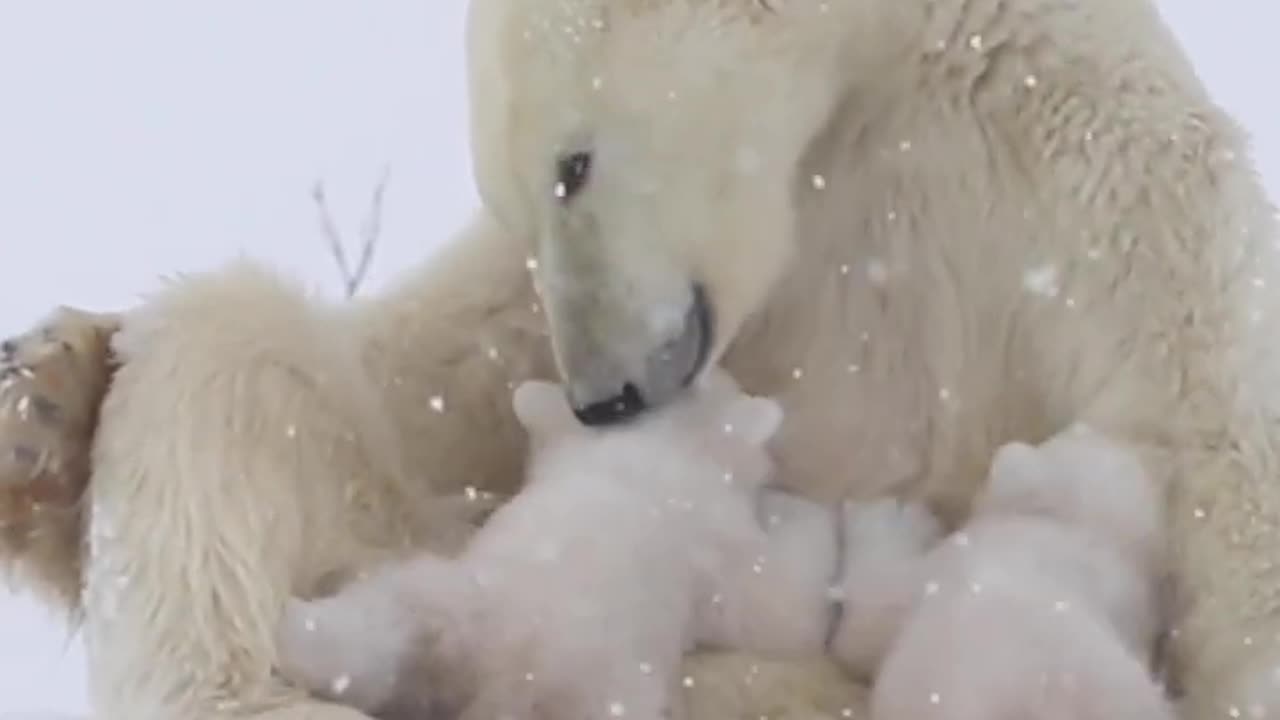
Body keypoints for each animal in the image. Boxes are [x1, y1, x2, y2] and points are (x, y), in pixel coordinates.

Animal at [276, 376, 839, 717]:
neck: (643, 451)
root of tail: (505, 678)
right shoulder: (717, 548)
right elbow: (769, 599)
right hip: (610, 691)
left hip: (435, 603)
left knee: (369, 634)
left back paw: (294, 630)